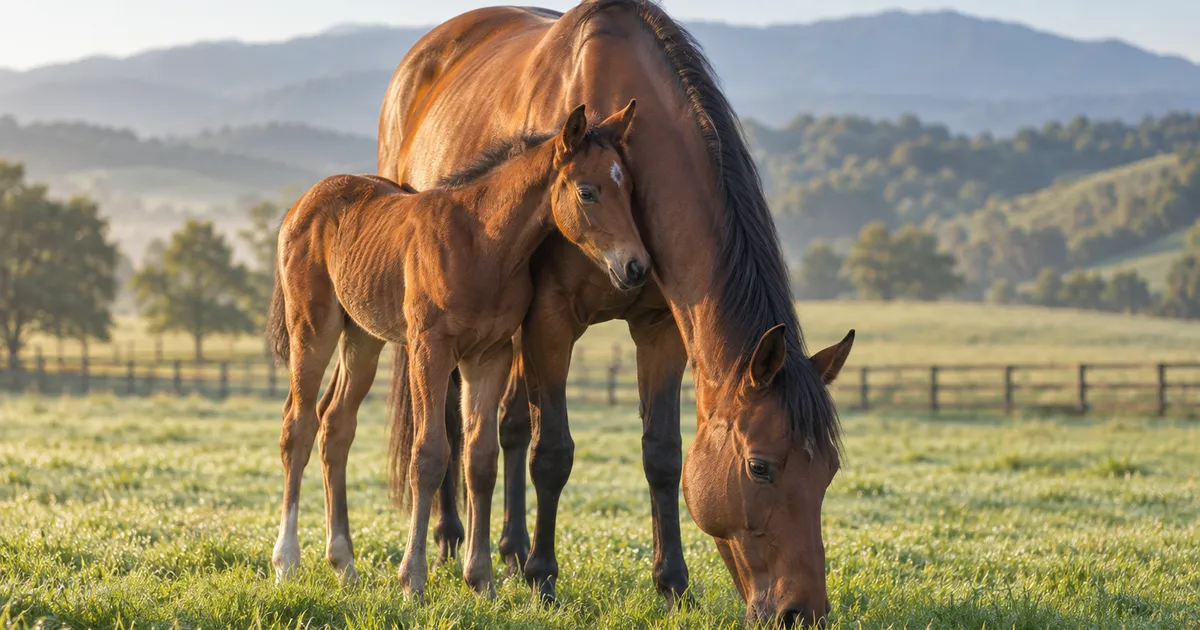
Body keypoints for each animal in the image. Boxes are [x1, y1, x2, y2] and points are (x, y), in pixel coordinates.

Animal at [265, 101, 649, 598]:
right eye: (587, 192)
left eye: (631, 189)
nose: (637, 266)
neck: (483, 244)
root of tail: (302, 204)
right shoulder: (430, 348)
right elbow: (429, 453)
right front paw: (413, 579)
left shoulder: (490, 356)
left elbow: (480, 459)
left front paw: (481, 578)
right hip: (313, 327)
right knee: (298, 426)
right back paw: (286, 562)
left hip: (362, 337)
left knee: (335, 425)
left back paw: (344, 564)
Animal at [378, 1, 855, 626]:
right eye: (760, 467)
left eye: (828, 471)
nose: (803, 613)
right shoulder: (549, 322)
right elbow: (552, 453)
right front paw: (544, 579)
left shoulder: (660, 330)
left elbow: (663, 455)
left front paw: (672, 584)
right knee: (455, 427)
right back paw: (453, 543)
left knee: (506, 427)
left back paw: (509, 551)